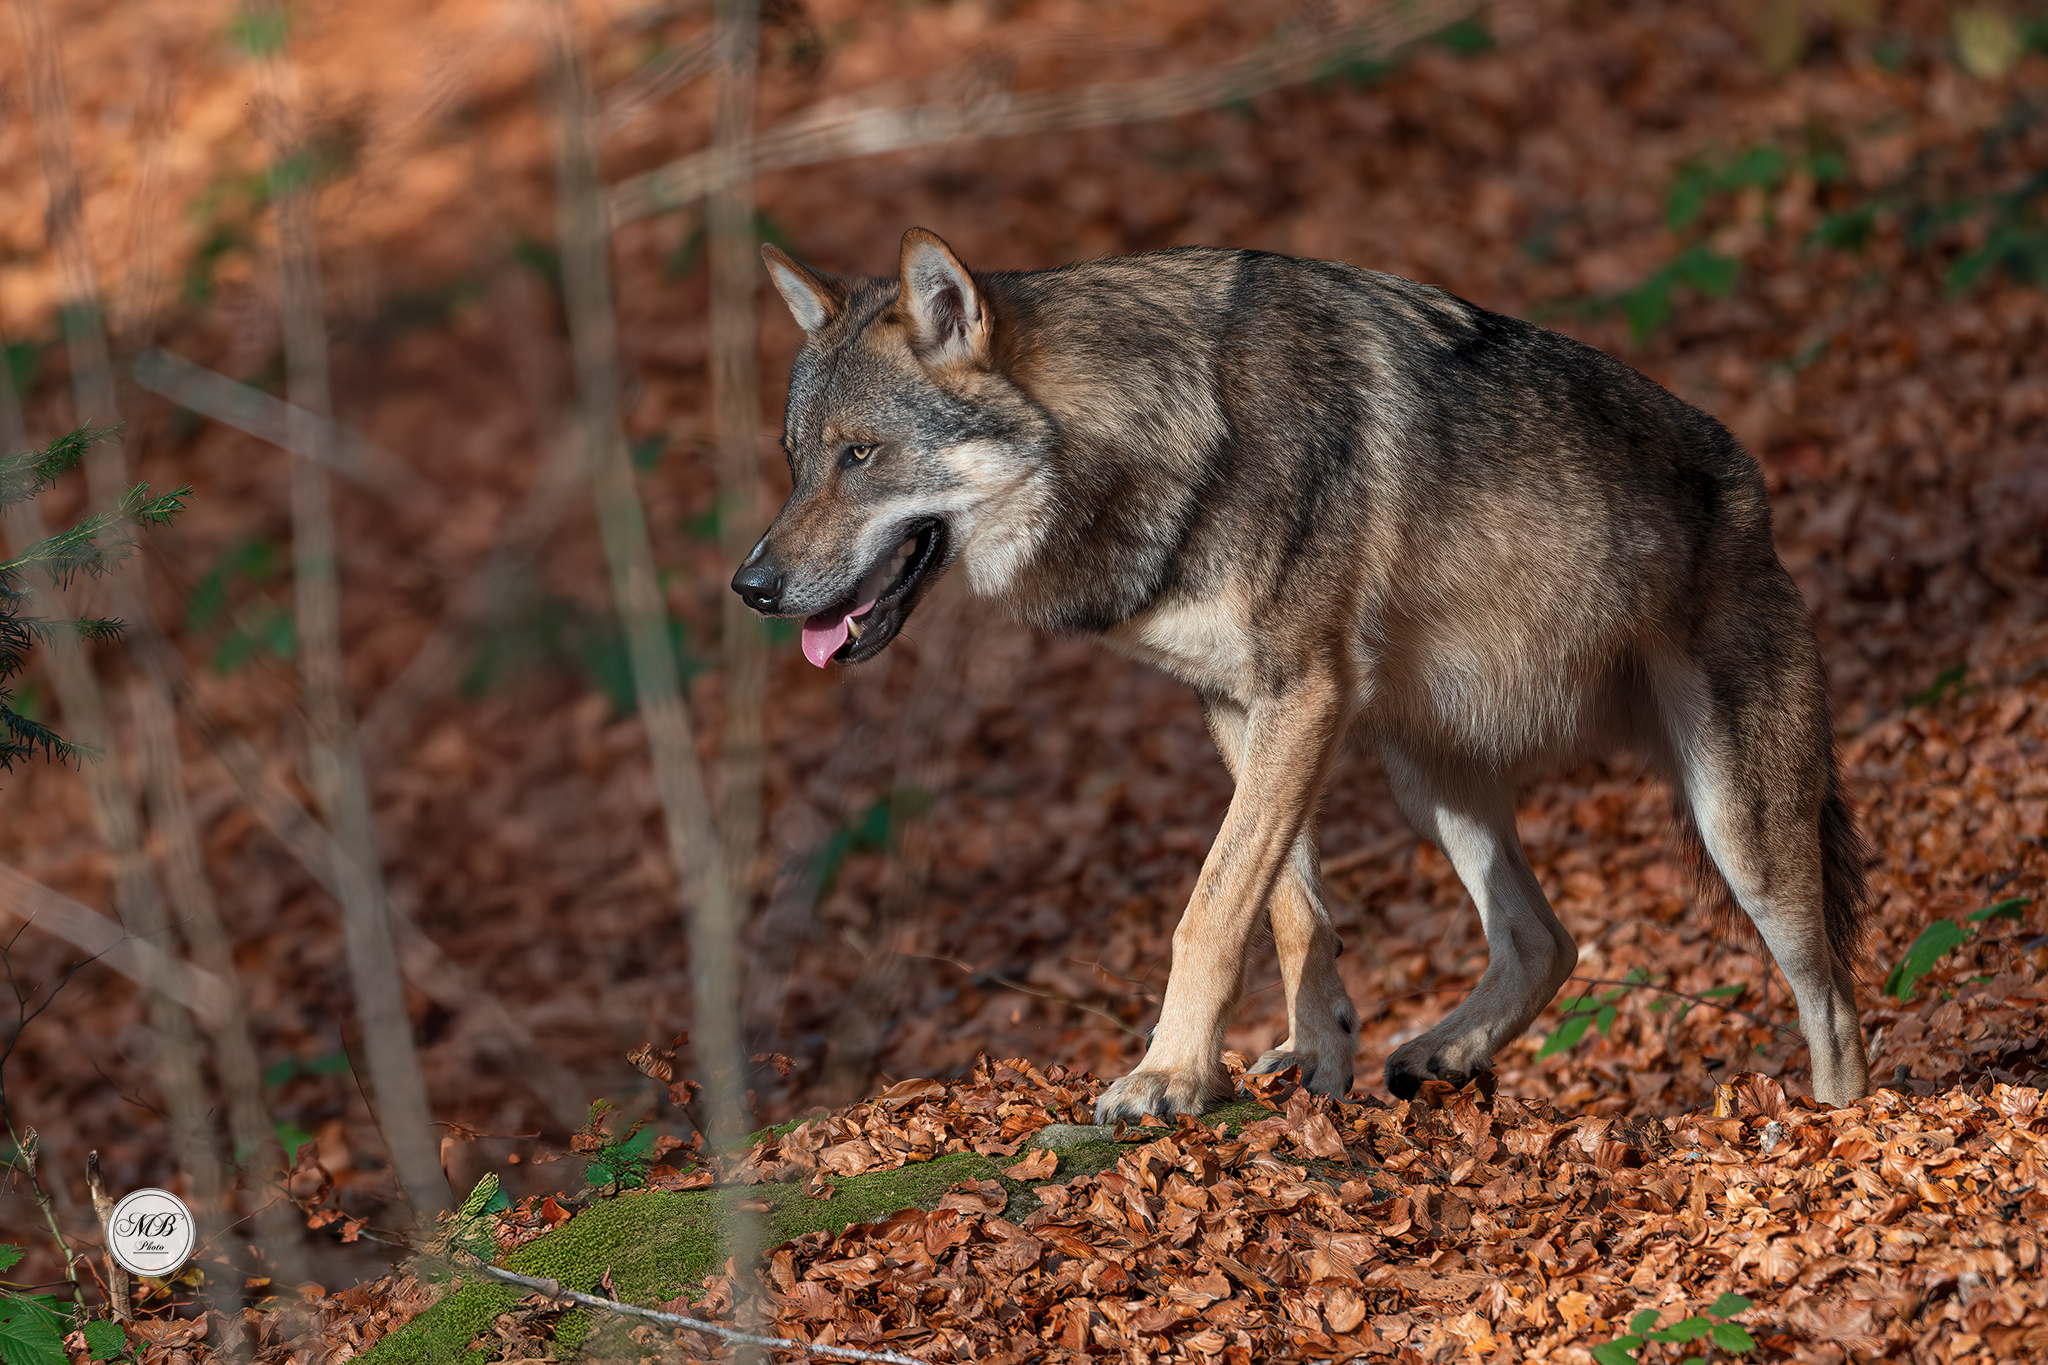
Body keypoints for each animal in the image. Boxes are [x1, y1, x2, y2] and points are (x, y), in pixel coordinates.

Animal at [733, 228, 1871, 1120]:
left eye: (861, 455)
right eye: (794, 462)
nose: (750, 585)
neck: (1166, 433)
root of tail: (1751, 482)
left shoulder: (1303, 694)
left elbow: (1207, 908)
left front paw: (1166, 1077)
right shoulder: (1242, 709)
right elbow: (1286, 906)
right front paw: (1316, 1054)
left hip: (1739, 830)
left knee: (1835, 1009)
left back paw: (1834, 1128)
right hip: (1429, 784)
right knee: (1546, 940)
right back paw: (1444, 1051)